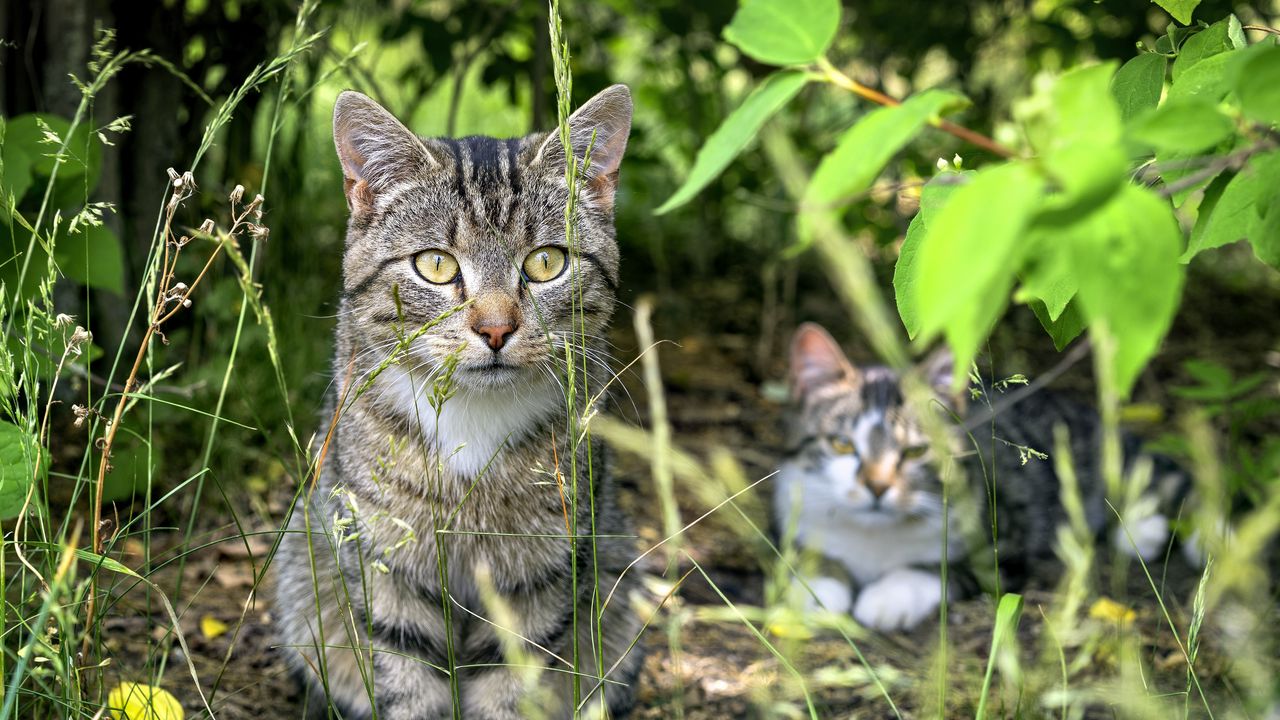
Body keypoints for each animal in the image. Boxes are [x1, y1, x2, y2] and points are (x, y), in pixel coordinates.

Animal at [276, 85, 645, 717]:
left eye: (547, 262)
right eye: (435, 263)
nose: (496, 329)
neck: (474, 417)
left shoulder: (543, 572)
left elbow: (509, 685)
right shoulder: (385, 564)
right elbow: (408, 677)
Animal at [773, 322, 1192, 630]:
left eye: (915, 451)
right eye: (842, 444)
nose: (877, 487)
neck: (874, 536)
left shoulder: (1003, 541)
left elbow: (941, 569)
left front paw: (887, 597)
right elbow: (807, 557)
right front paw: (818, 589)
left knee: (1161, 476)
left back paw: (1150, 530)